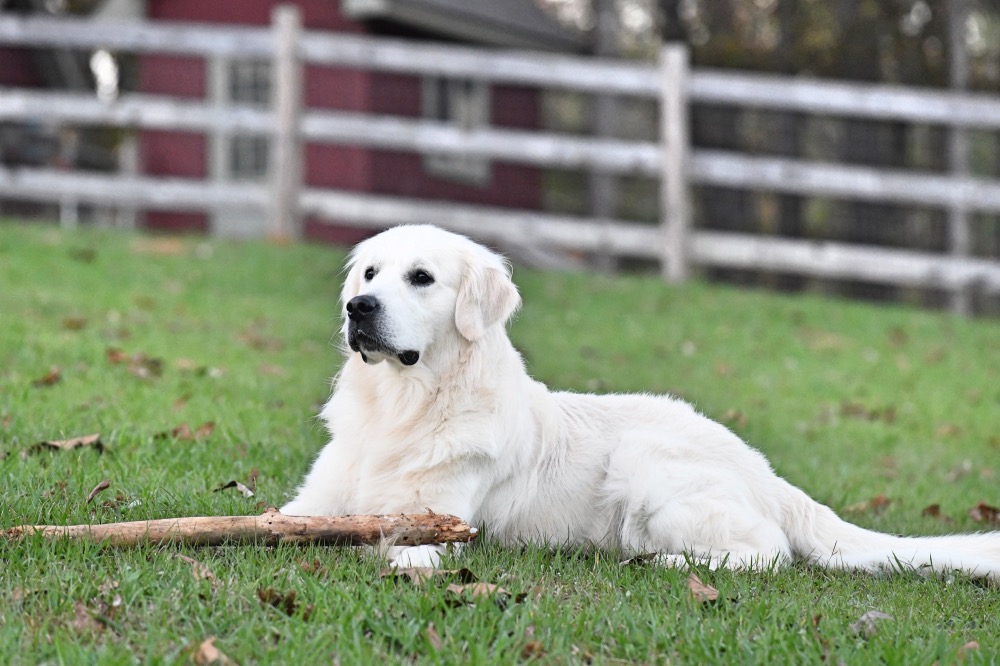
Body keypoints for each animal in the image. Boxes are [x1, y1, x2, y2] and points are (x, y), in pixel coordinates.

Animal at [284, 224, 1000, 576]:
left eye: (422, 278)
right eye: (370, 273)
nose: (358, 308)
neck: (403, 404)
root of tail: (768, 475)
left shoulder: (439, 525)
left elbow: (397, 547)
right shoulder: (317, 498)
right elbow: (283, 522)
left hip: (646, 465)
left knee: (768, 554)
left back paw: (664, 561)